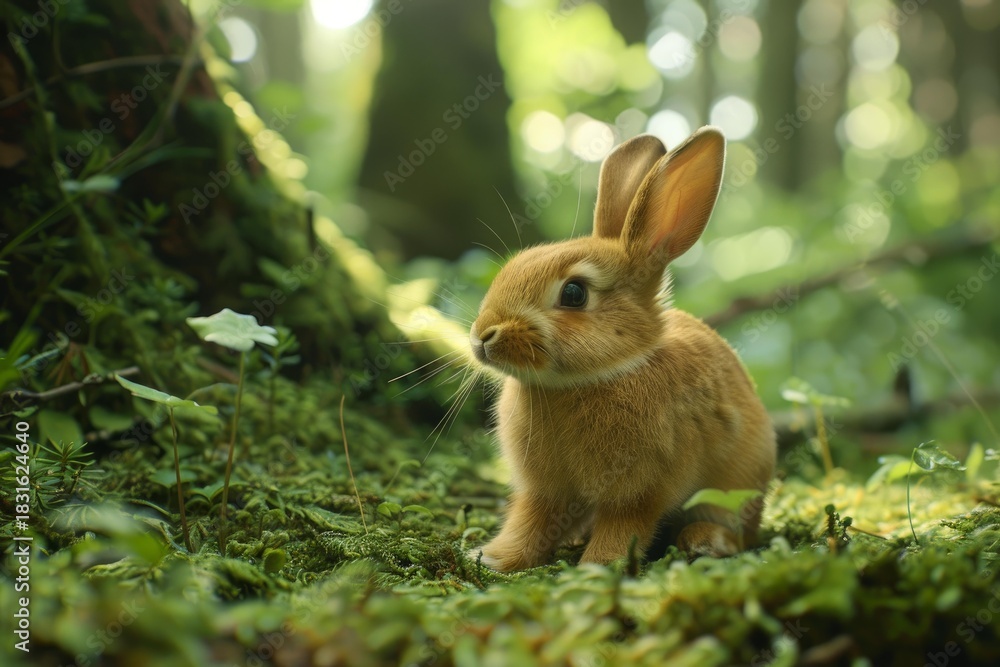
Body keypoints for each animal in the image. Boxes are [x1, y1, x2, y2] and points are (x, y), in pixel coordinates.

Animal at [467, 126, 776, 572]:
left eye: (574, 293)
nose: (482, 336)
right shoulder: (545, 491)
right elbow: (531, 520)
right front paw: (494, 558)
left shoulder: (641, 490)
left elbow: (624, 524)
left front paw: (599, 566)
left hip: (736, 484)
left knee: (737, 532)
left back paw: (705, 541)